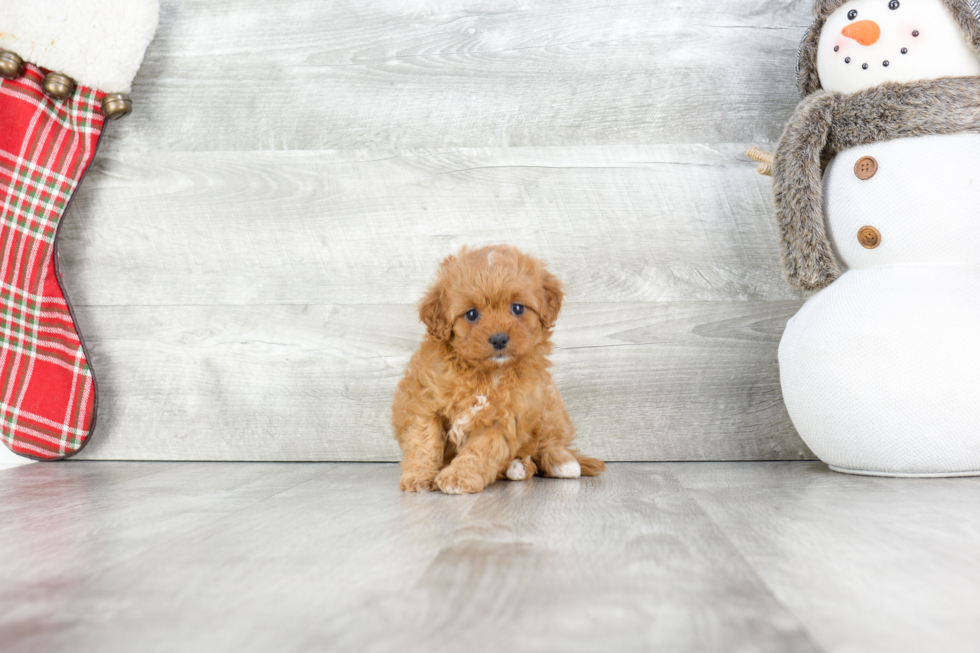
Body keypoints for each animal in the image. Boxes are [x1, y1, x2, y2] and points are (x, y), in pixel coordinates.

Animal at [390, 244, 604, 494]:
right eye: (472, 314)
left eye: (517, 308)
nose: (499, 339)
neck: (486, 373)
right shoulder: (424, 402)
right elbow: (424, 442)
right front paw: (420, 476)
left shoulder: (505, 418)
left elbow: (479, 450)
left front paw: (458, 477)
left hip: (549, 403)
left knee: (548, 443)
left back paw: (558, 463)